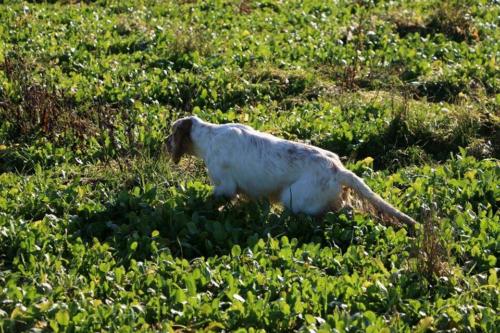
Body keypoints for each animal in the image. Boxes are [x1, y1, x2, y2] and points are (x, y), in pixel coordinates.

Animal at [167, 115, 418, 227]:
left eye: (172, 133)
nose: (164, 143)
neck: (210, 137)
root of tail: (338, 170)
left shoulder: (225, 186)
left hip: (295, 199)